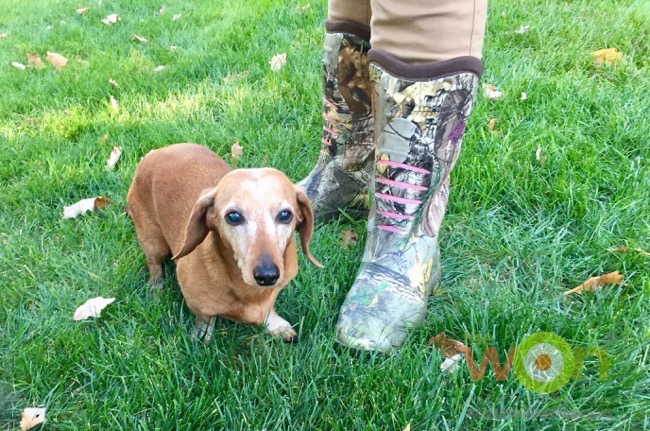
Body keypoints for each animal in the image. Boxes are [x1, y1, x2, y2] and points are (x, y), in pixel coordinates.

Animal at [126, 143, 322, 342]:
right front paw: (202, 337)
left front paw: (276, 325)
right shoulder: (199, 306)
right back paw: (156, 288)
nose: (267, 275)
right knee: (154, 264)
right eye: (233, 216)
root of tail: (156, 152)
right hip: (153, 242)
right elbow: (205, 319)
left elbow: (269, 307)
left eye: (285, 215)